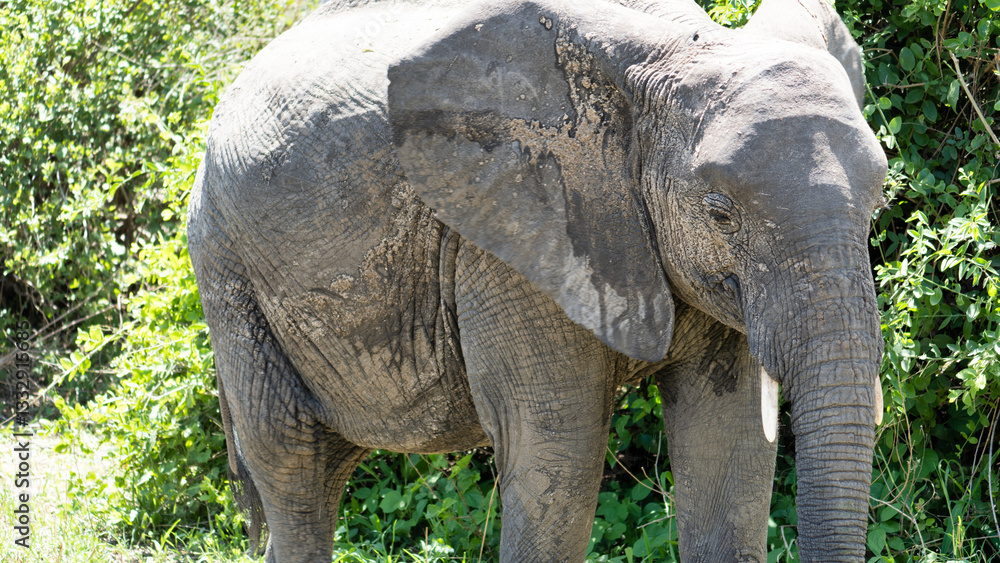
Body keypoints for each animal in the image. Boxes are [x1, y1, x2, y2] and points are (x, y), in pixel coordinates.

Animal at [187, 0, 888, 561]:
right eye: (720, 214)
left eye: (877, 201)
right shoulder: (505, 238)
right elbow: (559, 456)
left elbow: (730, 448)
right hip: (227, 267)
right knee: (292, 459)